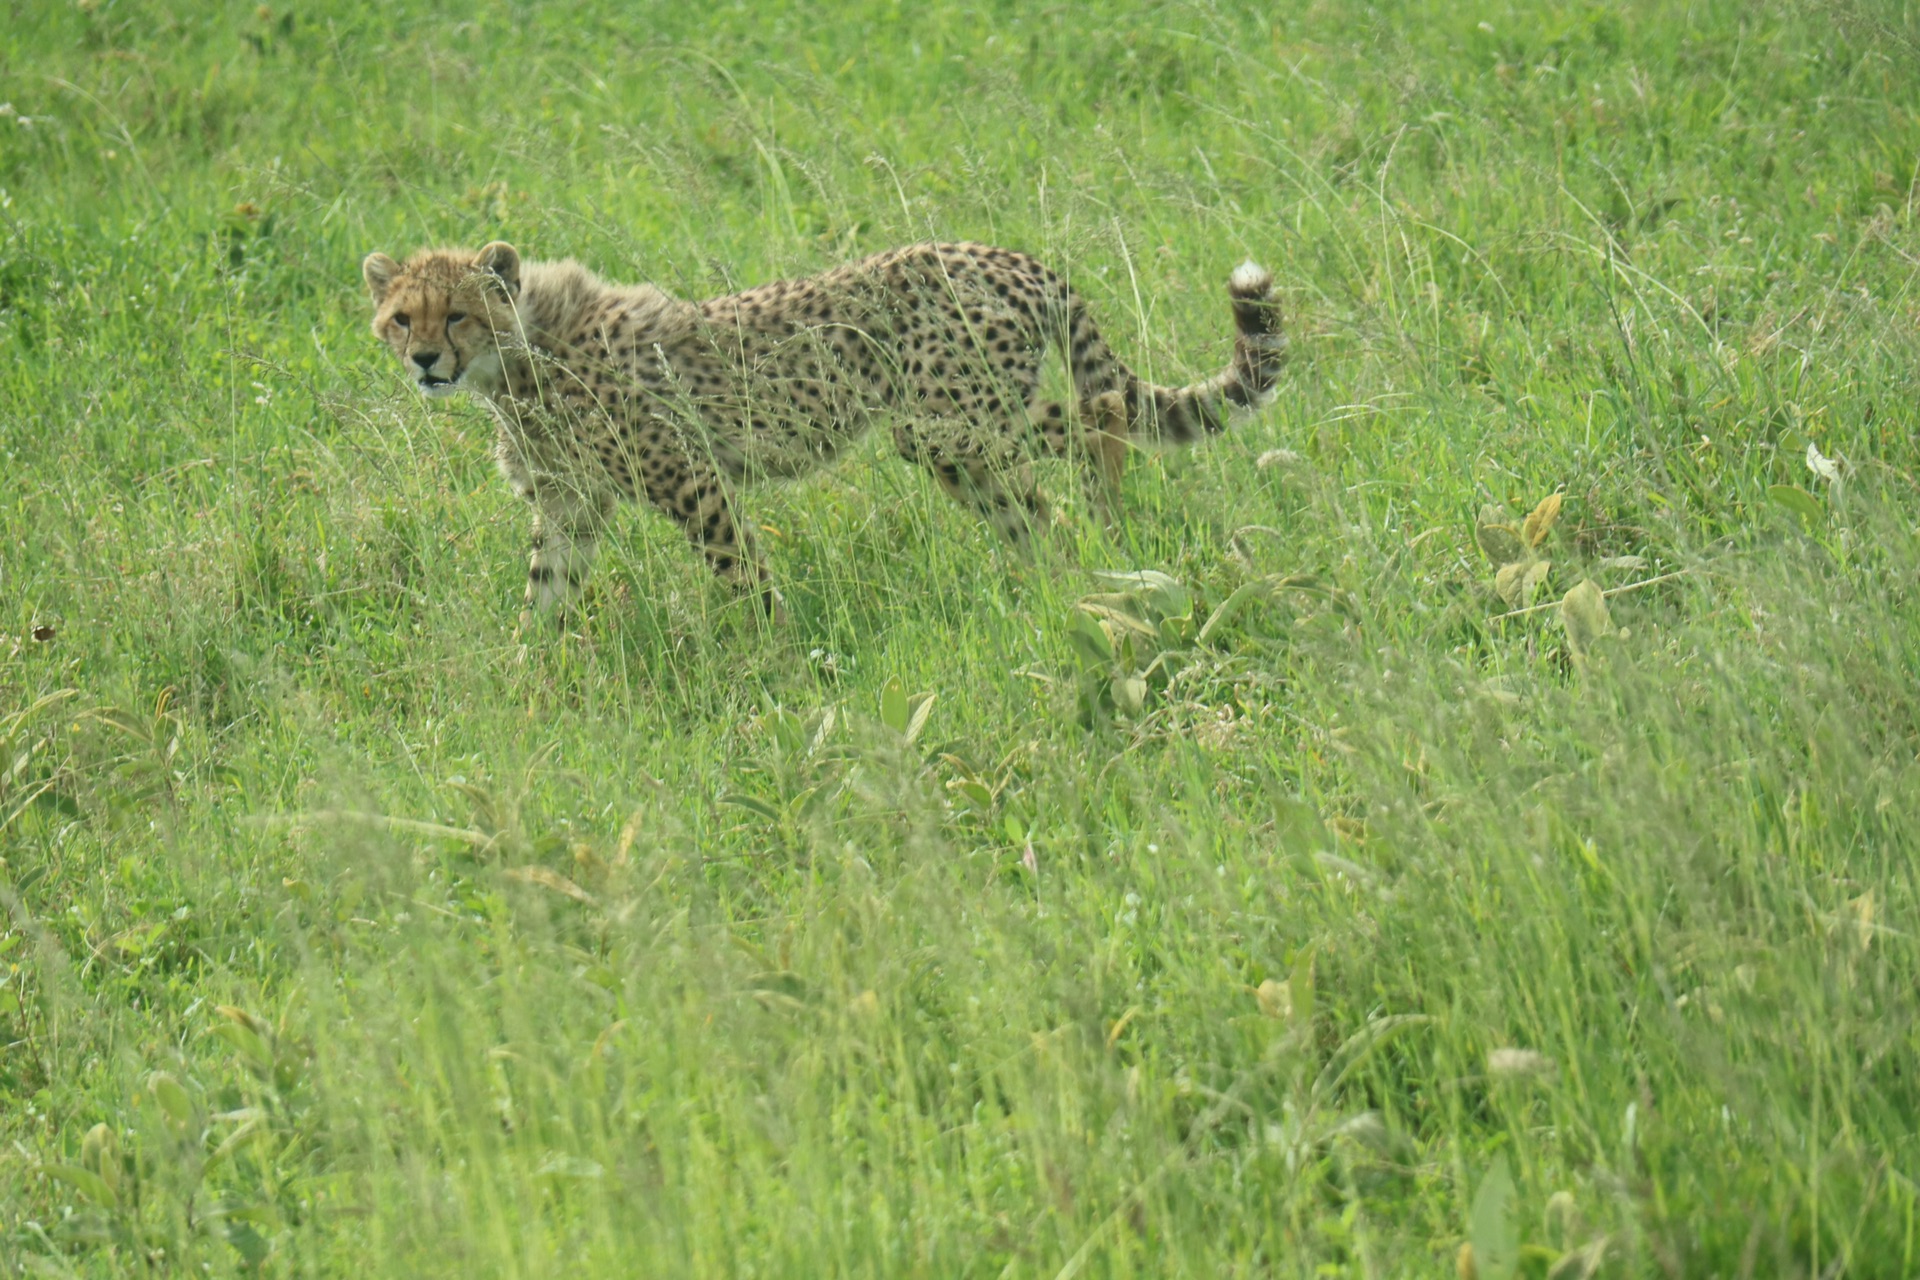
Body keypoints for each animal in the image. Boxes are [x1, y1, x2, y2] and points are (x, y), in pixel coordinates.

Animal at [360, 241, 1290, 625]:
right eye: (403, 318)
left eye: (459, 314)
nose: (428, 361)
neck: (522, 357)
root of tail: (1010, 256)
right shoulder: (569, 506)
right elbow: (544, 593)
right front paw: (529, 676)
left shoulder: (692, 479)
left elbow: (741, 574)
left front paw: (775, 661)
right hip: (955, 437)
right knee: (1033, 507)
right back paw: (1057, 582)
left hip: (946, 418)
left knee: (1100, 417)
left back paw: (1102, 520)